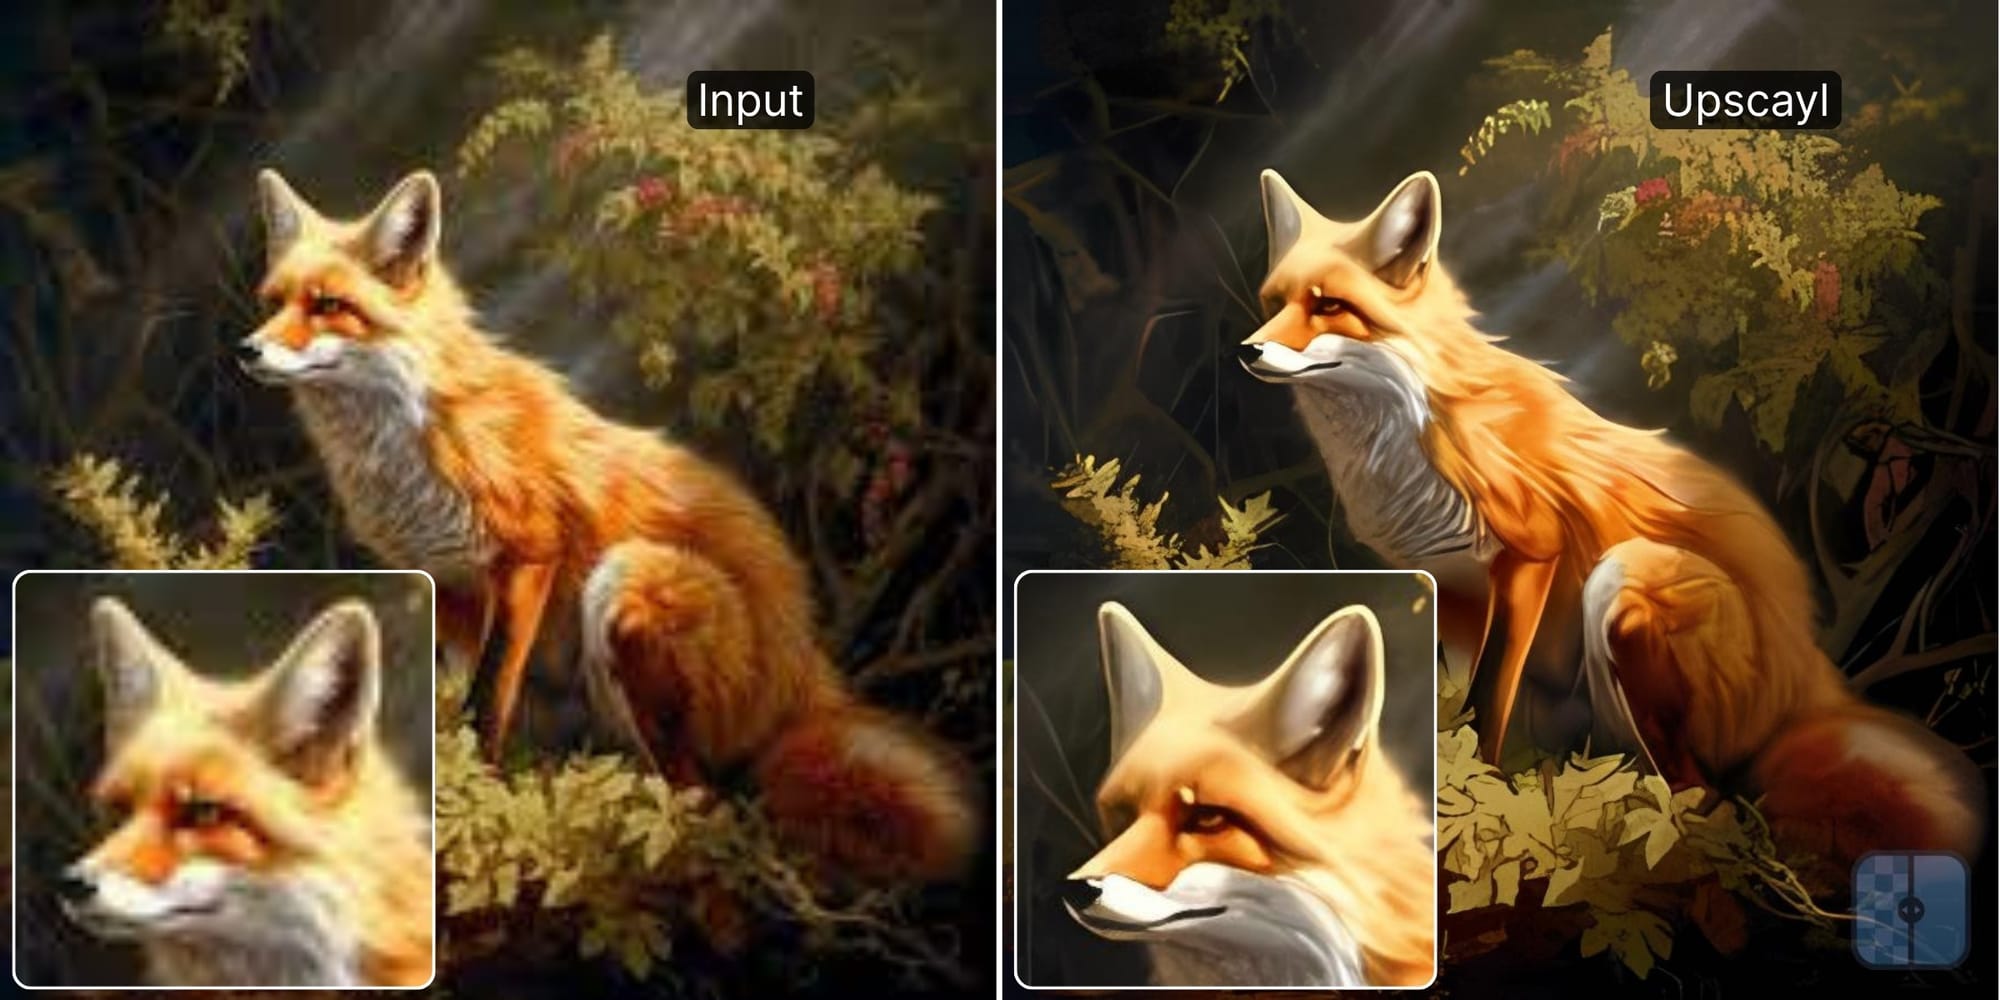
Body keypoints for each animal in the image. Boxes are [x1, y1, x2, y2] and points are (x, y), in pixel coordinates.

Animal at [236, 169, 972, 883]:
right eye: (273, 301)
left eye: (328, 305)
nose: (247, 351)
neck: (412, 437)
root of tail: (804, 658)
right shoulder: (448, 585)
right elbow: (467, 698)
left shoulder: (529, 554)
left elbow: (487, 701)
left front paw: (472, 795)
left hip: (628, 582)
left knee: (704, 796)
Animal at [1237, 167, 1986, 877]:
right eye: (1275, 303)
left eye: (1329, 306)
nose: (1248, 351)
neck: (1412, 430)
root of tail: (1808, 665)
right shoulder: (1452, 592)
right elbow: (1457, 705)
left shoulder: (1527, 554)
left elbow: (1485, 706)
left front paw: (1468, 815)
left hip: (1623, 582)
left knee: (1708, 797)